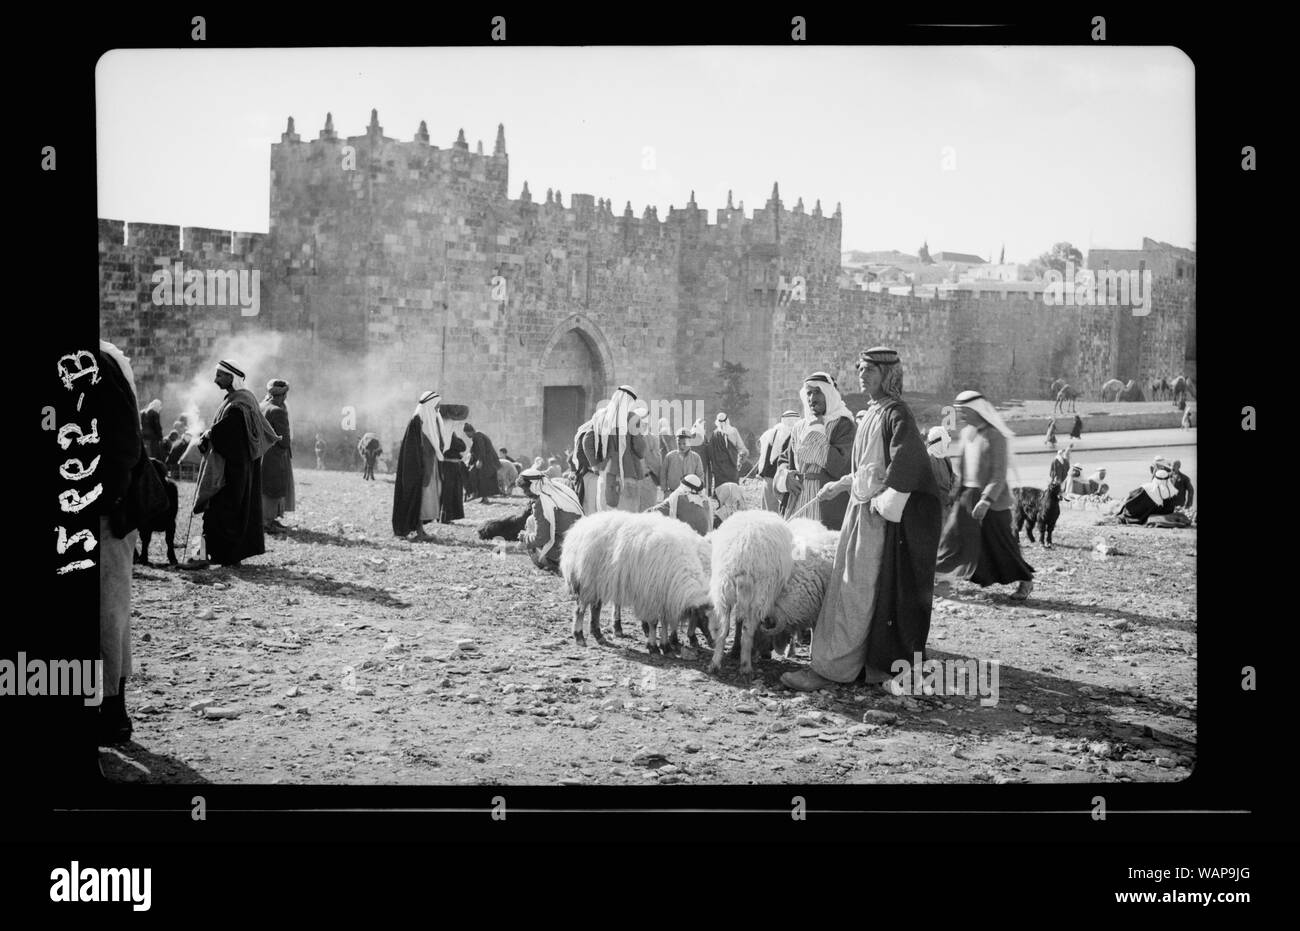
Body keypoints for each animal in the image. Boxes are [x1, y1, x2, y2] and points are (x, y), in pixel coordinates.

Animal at [707, 509, 795, 676]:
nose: (768, 654)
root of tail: (744, 555)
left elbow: (737, 621)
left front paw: (734, 650)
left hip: (724, 591)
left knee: (723, 630)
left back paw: (715, 663)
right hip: (759, 595)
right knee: (747, 634)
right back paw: (746, 667)